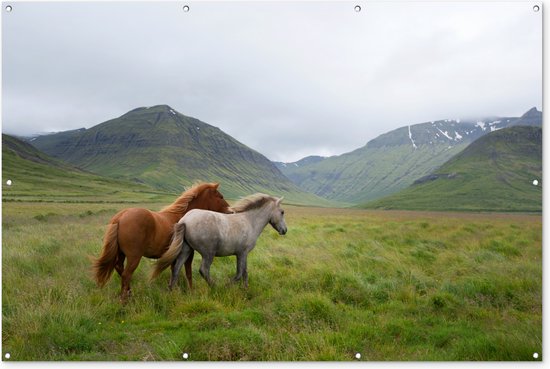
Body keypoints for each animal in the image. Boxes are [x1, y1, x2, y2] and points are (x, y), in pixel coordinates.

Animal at [91, 182, 230, 302]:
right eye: (221, 197)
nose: (230, 211)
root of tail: (120, 217)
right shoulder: (188, 253)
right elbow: (188, 272)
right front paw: (190, 291)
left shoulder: (174, 256)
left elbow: (175, 272)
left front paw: (174, 290)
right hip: (134, 256)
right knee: (126, 275)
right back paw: (125, 300)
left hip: (121, 254)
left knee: (120, 269)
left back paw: (129, 294)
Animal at [152, 193, 288, 288]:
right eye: (282, 212)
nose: (284, 230)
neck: (250, 221)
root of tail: (185, 220)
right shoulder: (242, 253)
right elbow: (239, 274)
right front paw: (228, 285)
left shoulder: (242, 254)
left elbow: (244, 272)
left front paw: (246, 288)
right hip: (208, 253)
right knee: (204, 270)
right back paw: (215, 286)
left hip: (186, 250)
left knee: (176, 269)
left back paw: (172, 290)